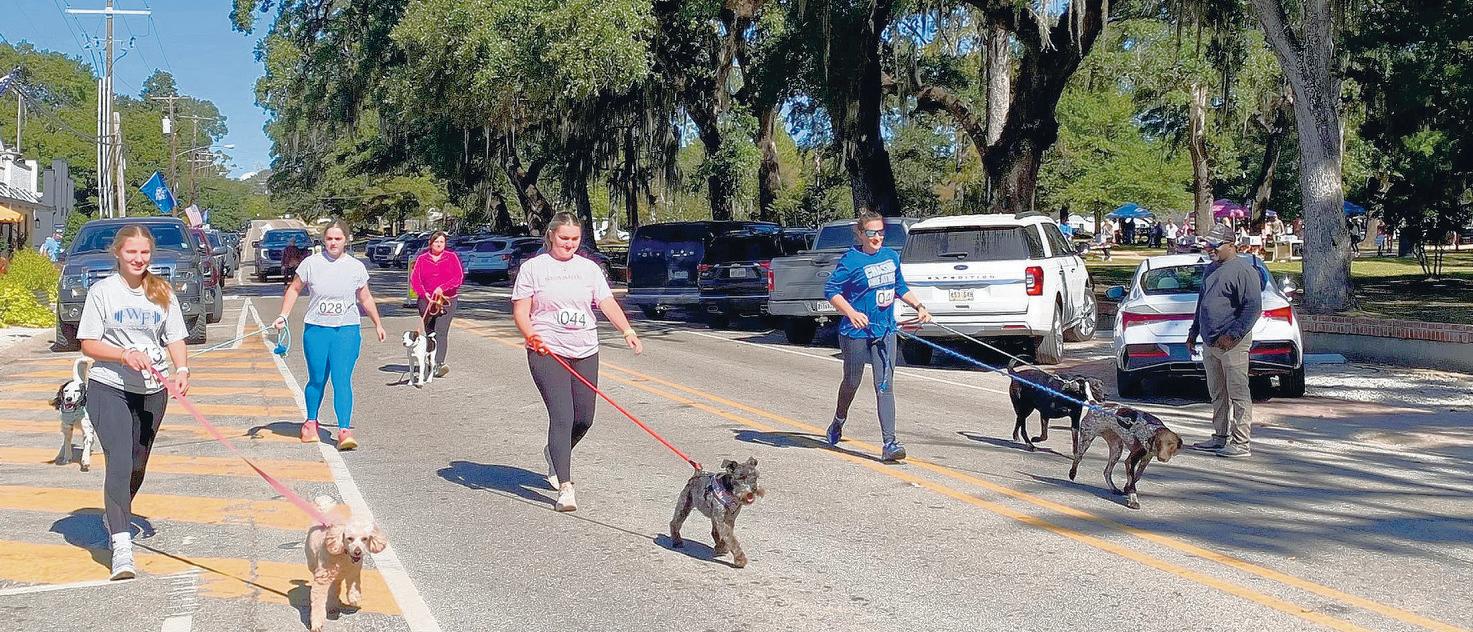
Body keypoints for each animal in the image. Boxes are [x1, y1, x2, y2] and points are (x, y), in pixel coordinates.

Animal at [304, 496, 387, 632]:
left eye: (364, 539)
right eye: (349, 538)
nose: (358, 552)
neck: (344, 555)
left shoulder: (354, 571)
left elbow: (353, 585)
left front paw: (354, 599)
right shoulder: (322, 578)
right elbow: (318, 602)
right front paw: (316, 624)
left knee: (334, 587)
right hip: (312, 561)